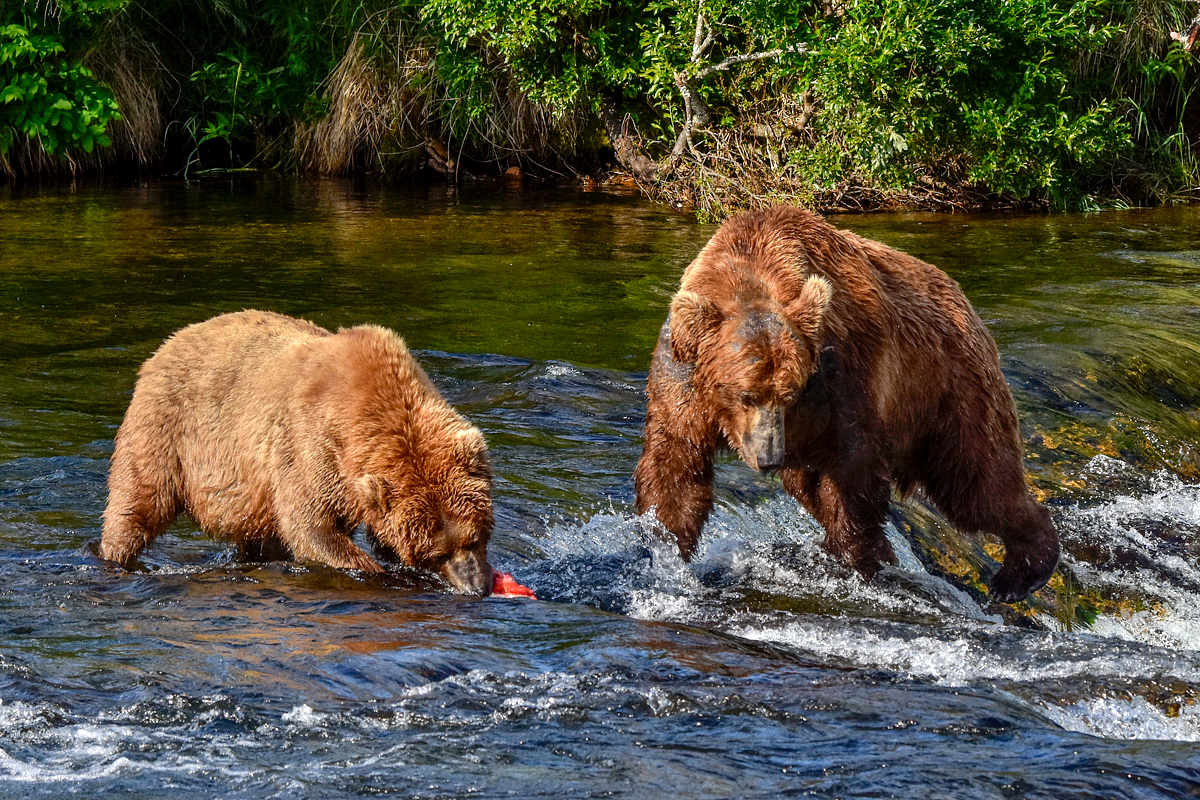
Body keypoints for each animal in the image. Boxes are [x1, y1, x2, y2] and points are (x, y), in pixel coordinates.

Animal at [99, 309, 496, 597]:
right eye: (437, 552)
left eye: (475, 537)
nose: (477, 587)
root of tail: (169, 342)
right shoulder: (309, 446)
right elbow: (313, 528)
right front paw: (382, 573)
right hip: (168, 430)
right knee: (138, 501)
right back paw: (114, 557)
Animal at [633, 205, 1056, 599]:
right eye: (746, 395)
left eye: (788, 394)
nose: (768, 457)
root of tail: (966, 304)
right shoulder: (683, 381)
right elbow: (676, 465)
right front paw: (665, 549)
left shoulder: (844, 378)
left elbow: (854, 470)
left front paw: (862, 555)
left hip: (949, 389)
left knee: (974, 481)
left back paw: (1019, 572)